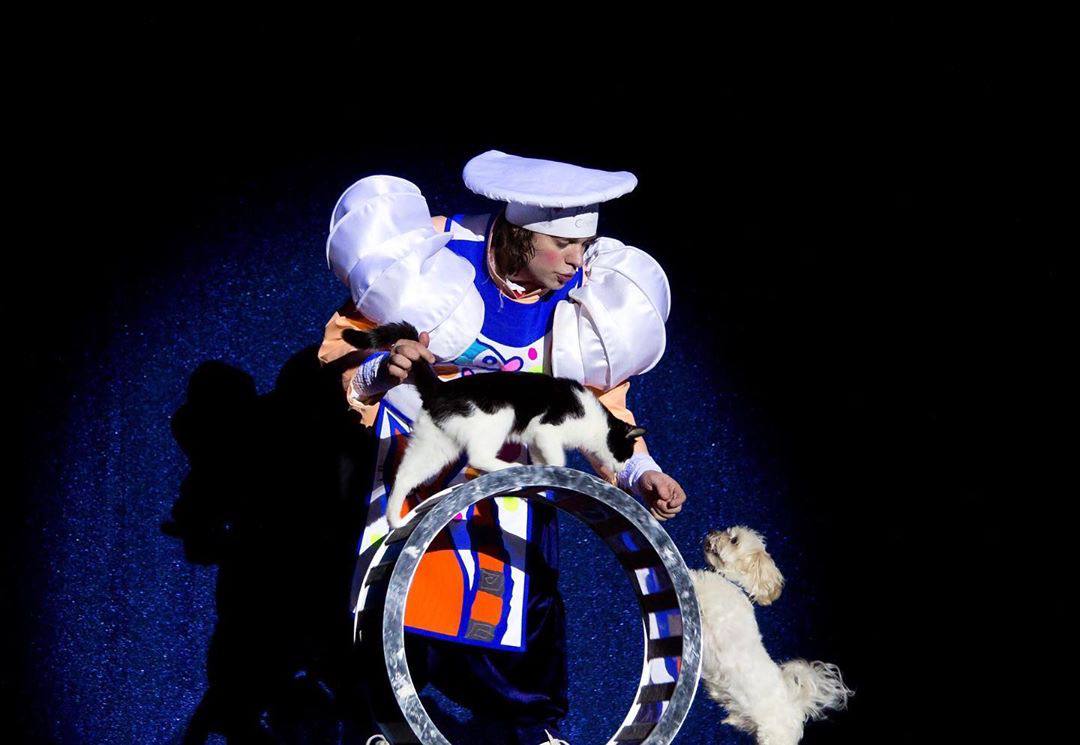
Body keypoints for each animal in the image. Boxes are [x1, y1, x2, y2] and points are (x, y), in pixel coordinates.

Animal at [342, 322, 646, 529]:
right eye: (627, 453)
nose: (621, 470)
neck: (595, 422)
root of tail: (440, 388)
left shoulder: (537, 439)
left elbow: (542, 459)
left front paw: (540, 474)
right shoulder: (548, 429)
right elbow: (557, 458)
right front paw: (553, 471)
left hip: (435, 448)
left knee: (404, 476)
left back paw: (395, 520)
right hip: (501, 414)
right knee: (478, 457)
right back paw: (507, 467)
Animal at [689, 527, 851, 744]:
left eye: (734, 540)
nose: (713, 531)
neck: (734, 583)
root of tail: (797, 707)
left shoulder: (708, 598)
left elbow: (692, 578)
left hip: (773, 737)